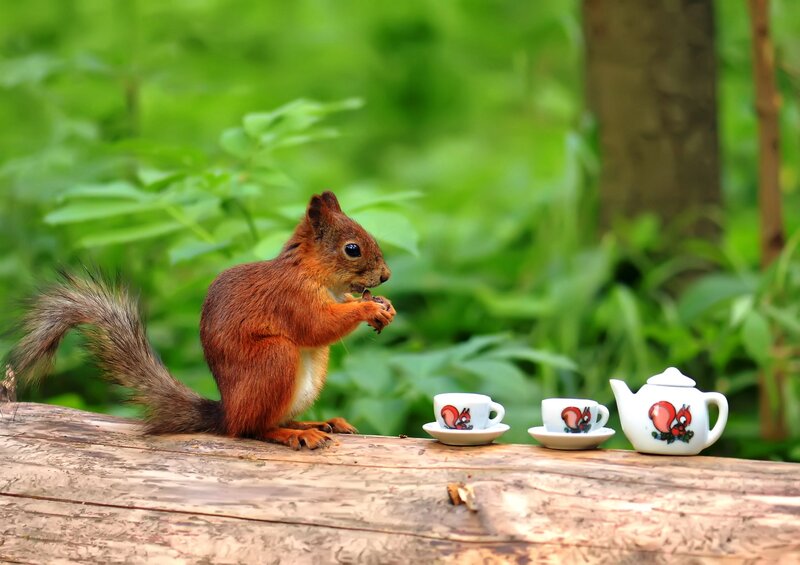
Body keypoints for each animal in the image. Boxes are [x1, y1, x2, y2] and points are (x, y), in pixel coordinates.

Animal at [7, 191, 395, 449]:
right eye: (352, 249)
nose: (386, 276)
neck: (314, 274)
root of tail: (227, 412)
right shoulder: (290, 298)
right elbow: (316, 326)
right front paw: (368, 309)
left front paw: (383, 306)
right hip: (274, 358)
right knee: (251, 429)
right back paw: (295, 433)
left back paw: (319, 421)